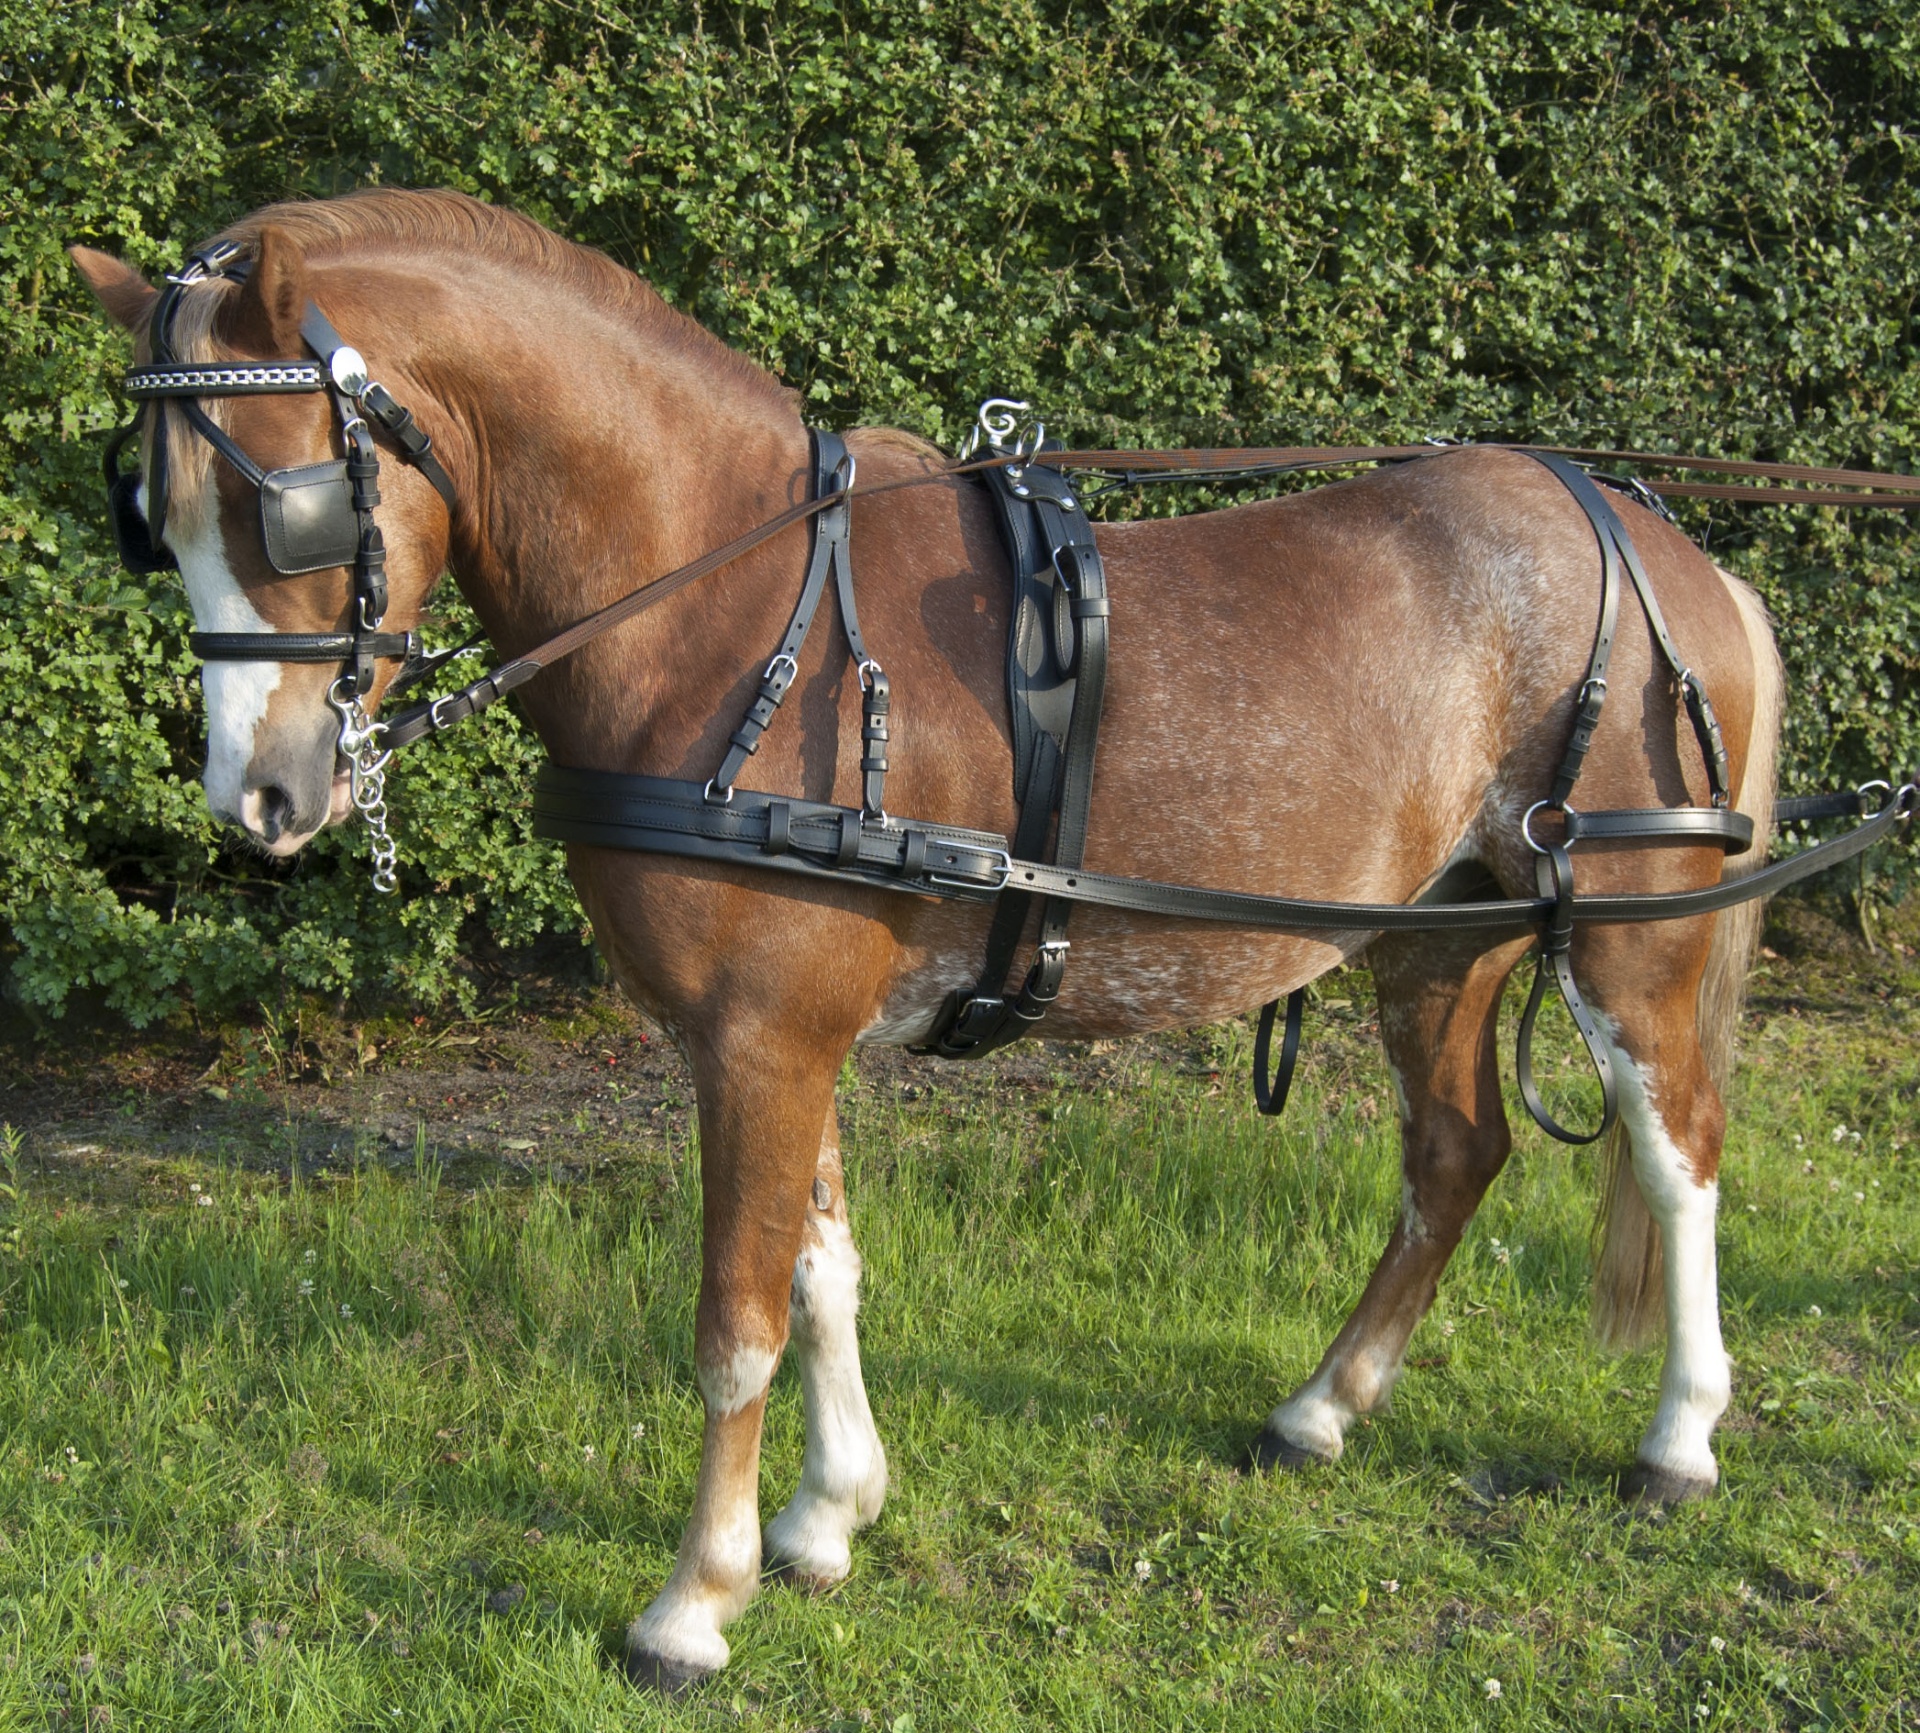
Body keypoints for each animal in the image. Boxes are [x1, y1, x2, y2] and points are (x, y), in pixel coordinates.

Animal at [72, 186, 1781, 1692]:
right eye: (151, 518)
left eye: (290, 506)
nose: (261, 794)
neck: (734, 606)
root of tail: (1652, 537)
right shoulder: (776, 1037)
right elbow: (826, 1271)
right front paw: (826, 1520)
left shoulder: (761, 1038)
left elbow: (738, 1320)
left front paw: (694, 1601)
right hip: (1436, 941)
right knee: (1456, 1152)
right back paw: (1323, 1407)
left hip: (1626, 937)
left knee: (1677, 1151)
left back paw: (1681, 1436)